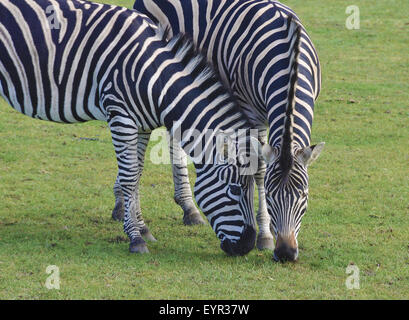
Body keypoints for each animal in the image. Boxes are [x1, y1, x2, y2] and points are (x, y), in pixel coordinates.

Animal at [0, 0, 260, 255]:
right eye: (235, 189)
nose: (247, 246)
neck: (155, 77)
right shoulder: (120, 115)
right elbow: (129, 177)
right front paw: (135, 237)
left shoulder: (141, 124)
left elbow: (138, 173)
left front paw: (142, 228)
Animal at [135, 0, 326, 260]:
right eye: (271, 196)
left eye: (304, 196)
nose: (286, 253)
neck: (289, 55)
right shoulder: (250, 112)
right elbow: (258, 170)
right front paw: (264, 236)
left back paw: (188, 208)